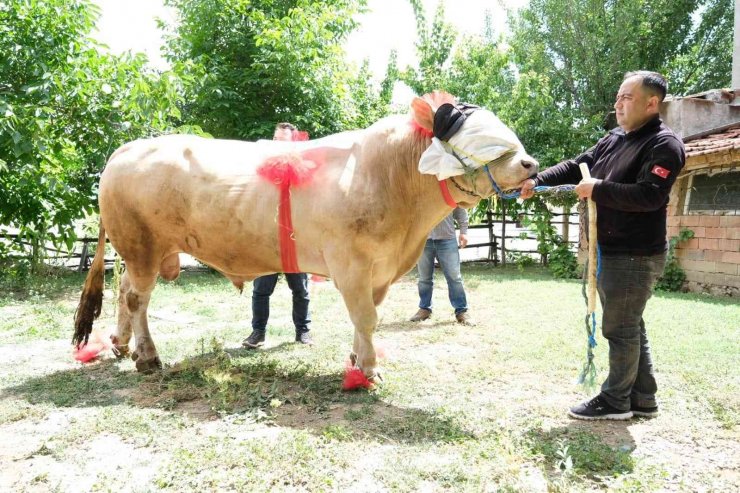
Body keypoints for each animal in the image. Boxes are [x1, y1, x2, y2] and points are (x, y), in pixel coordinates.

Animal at [75, 90, 536, 378]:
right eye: (480, 137)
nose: (531, 165)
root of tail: (126, 149)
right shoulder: (351, 264)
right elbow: (366, 317)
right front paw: (369, 369)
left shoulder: (379, 271)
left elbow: (366, 316)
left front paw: (356, 359)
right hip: (141, 246)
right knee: (137, 299)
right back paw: (148, 358)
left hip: (139, 251)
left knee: (125, 293)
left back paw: (121, 345)